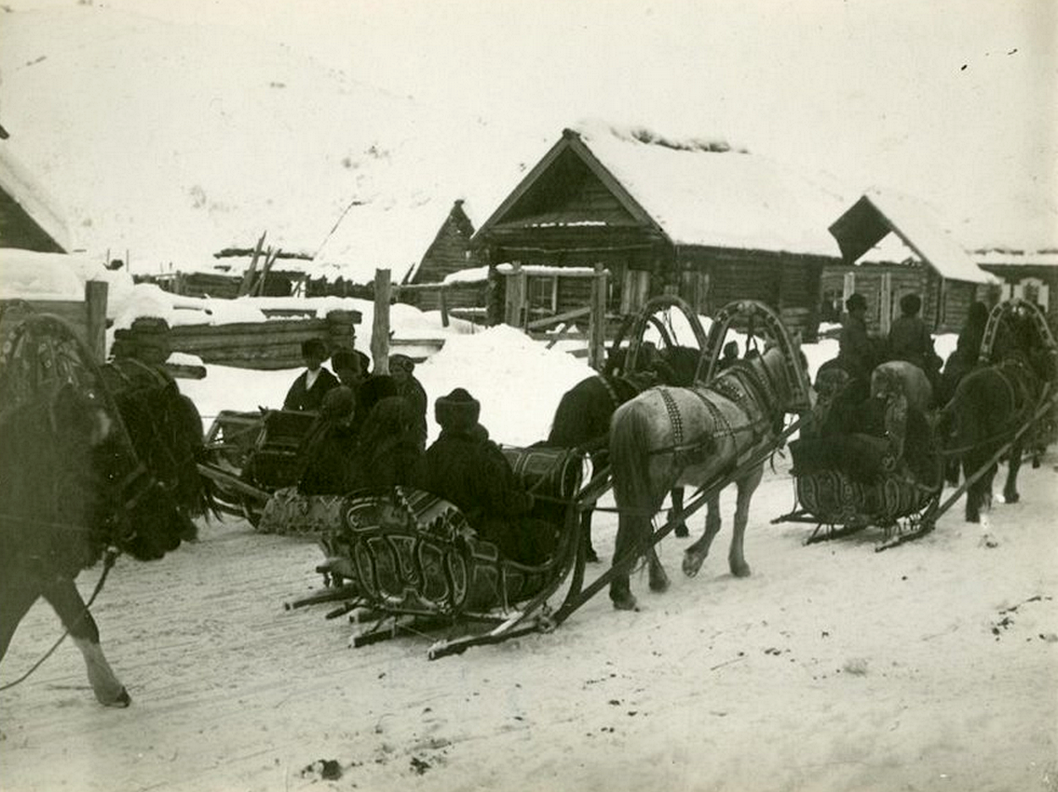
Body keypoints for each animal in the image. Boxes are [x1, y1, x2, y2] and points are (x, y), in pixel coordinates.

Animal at [605, 340, 808, 613]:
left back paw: (622, 589)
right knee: (644, 530)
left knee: (630, 528)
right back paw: (654, 580)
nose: (814, 397)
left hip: (629, 487)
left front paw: (694, 558)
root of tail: (633, 410)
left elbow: (714, 520)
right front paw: (737, 564)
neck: (751, 397)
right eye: (805, 372)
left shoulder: (716, 475)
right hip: (652, 487)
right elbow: (740, 517)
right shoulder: (750, 473)